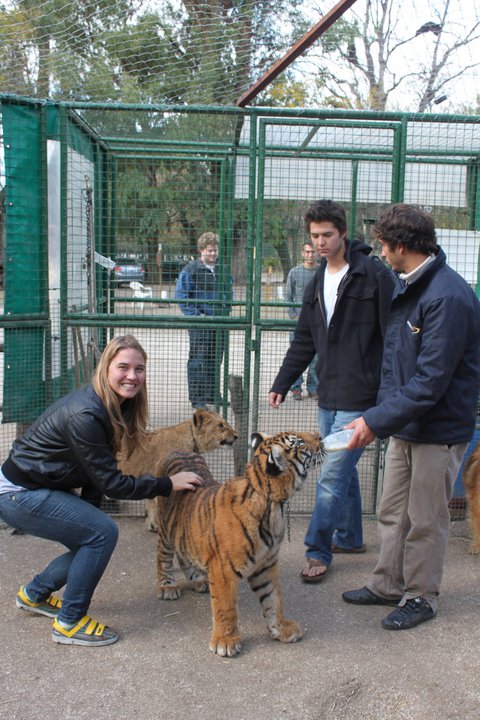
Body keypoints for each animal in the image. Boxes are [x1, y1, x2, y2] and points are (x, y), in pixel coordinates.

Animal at [155, 430, 325, 657]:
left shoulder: (266, 564)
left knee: (184, 555)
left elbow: (274, 599)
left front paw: (281, 629)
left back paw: (199, 580)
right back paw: (167, 586)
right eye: (299, 443)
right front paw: (225, 641)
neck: (274, 503)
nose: (321, 436)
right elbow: (225, 607)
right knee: (162, 556)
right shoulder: (223, 569)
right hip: (166, 529)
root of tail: (178, 449)